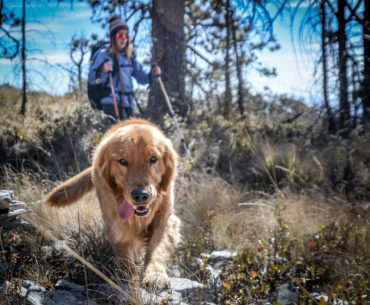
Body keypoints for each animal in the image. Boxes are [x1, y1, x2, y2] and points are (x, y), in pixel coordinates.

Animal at [44, 117, 181, 286]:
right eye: (122, 161)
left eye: (153, 159)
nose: (140, 195)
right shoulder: (114, 225)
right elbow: (125, 257)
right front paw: (130, 280)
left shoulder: (165, 217)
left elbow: (157, 247)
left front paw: (155, 274)